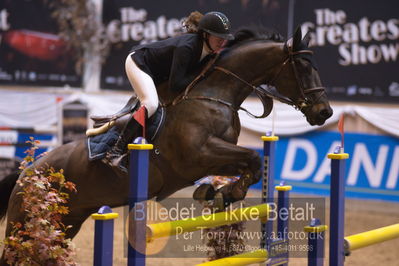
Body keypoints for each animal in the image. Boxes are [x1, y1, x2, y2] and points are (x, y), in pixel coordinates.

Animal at [0, 25, 332, 251]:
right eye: (304, 67)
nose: (325, 112)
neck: (215, 94)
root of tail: (27, 172)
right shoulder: (197, 156)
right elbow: (250, 158)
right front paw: (221, 193)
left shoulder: (215, 156)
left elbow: (251, 167)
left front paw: (216, 193)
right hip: (24, 222)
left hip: (65, 223)